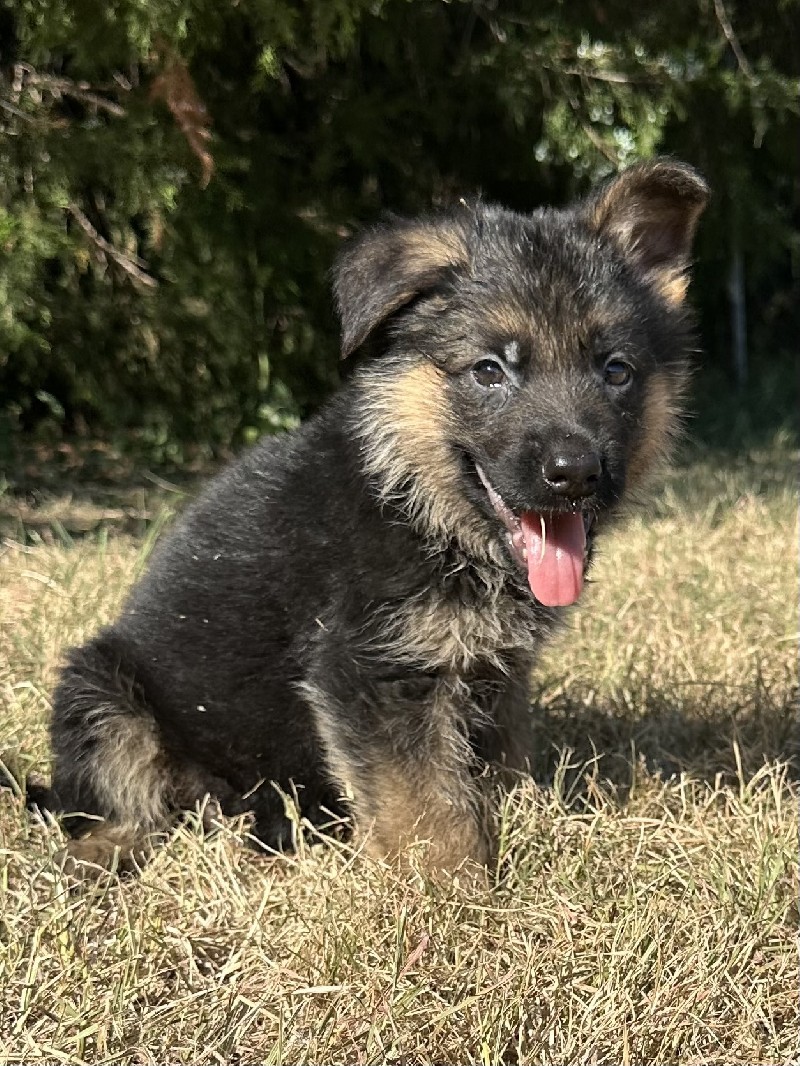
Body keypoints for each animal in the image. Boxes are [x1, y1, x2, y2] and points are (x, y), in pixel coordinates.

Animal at [43, 159, 708, 874]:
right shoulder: (374, 671)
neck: (418, 502)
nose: (576, 473)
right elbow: (429, 810)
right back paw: (110, 848)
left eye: (616, 371)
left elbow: (496, 767)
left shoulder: (496, 675)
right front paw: (455, 891)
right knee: (120, 800)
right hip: (100, 692)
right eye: (489, 371)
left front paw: (521, 821)